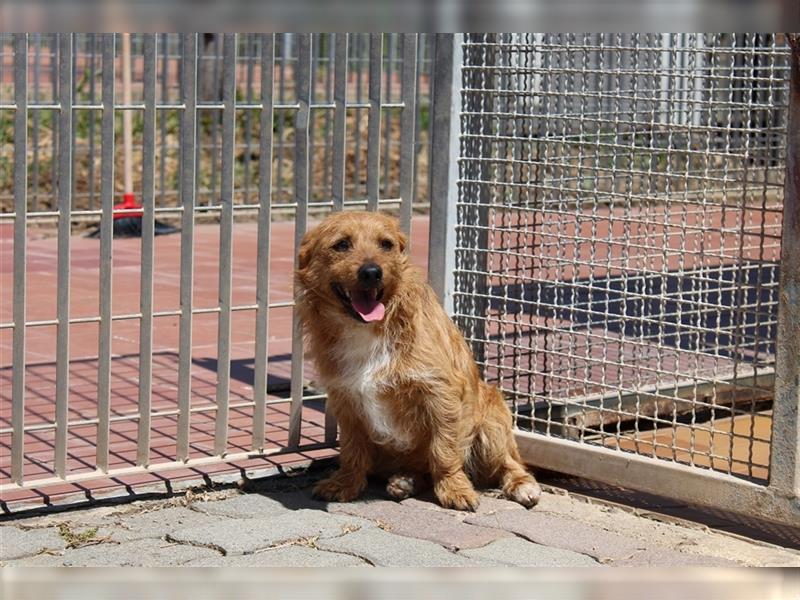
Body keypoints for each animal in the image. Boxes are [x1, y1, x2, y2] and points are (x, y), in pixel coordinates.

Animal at [292, 211, 536, 510]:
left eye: (386, 244)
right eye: (341, 244)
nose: (372, 272)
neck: (369, 329)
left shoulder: (441, 393)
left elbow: (443, 450)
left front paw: (454, 489)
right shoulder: (345, 401)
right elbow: (352, 451)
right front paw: (345, 483)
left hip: (492, 420)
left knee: (511, 463)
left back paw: (522, 485)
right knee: (420, 470)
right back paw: (405, 481)